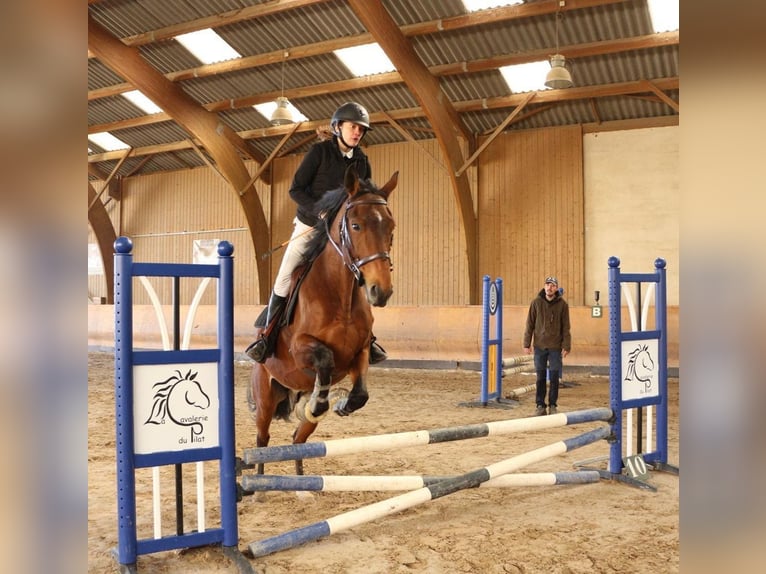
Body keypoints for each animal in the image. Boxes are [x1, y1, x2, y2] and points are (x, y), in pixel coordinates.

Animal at [249, 167, 398, 475]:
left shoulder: (359, 352)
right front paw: (321, 402)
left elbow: (360, 393)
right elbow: (324, 357)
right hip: (265, 396)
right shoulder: (300, 349)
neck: (341, 297)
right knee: (262, 440)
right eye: (356, 226)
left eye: (391, 227)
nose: (380, 291)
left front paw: (341, 405)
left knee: (298, 439)